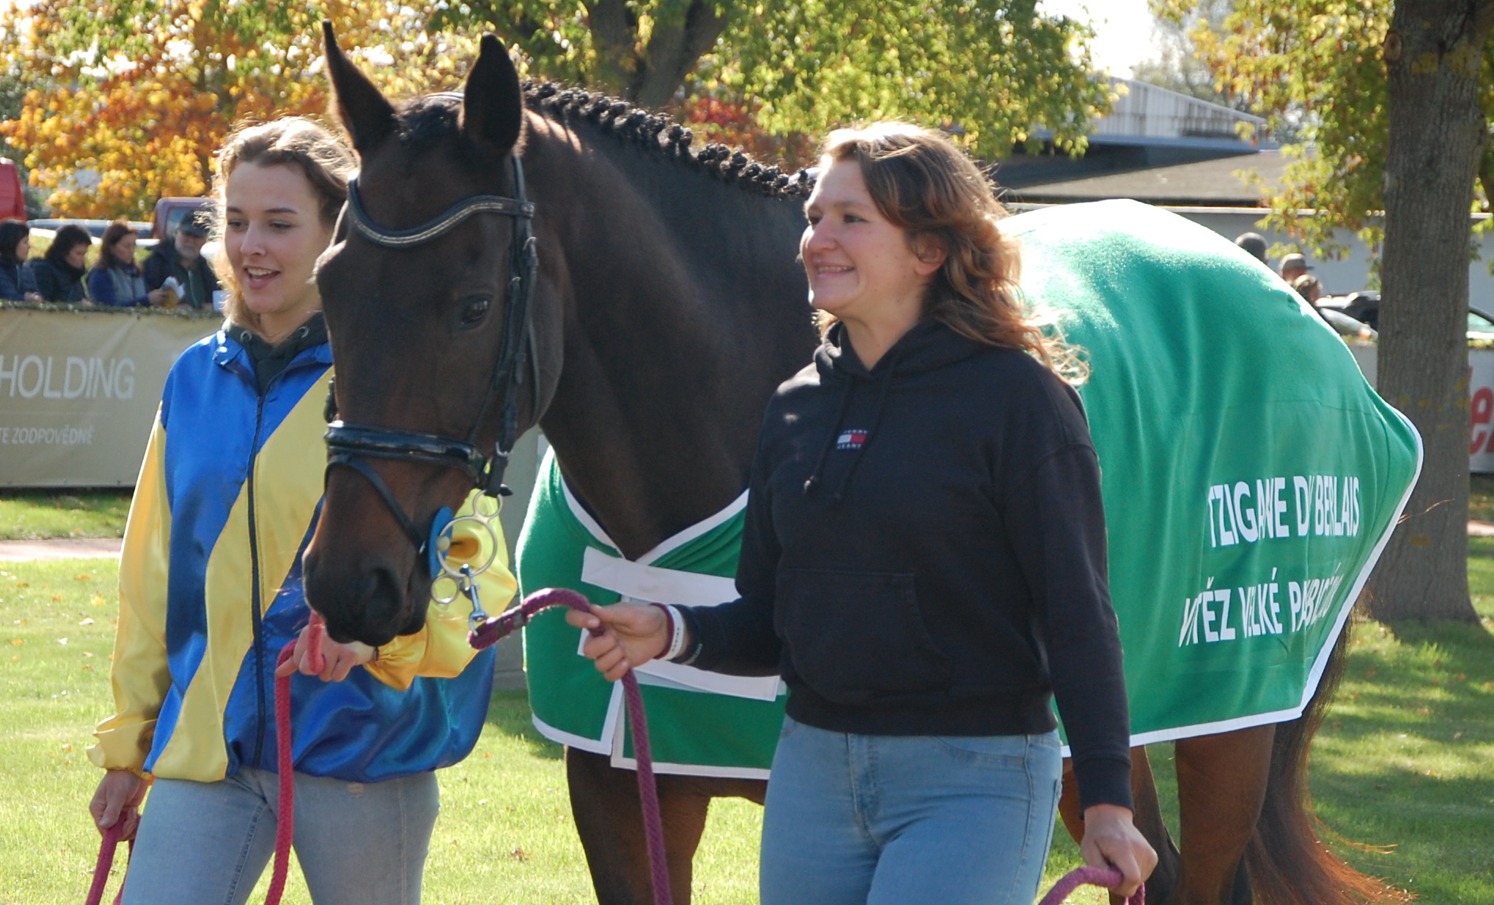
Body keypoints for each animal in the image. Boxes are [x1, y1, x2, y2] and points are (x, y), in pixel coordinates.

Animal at [303, 24, 1410, 902]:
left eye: (471, 305)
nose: (348, 581)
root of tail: (1301, 312)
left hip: (1225, 725)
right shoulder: (622, 795)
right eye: (331, 284)